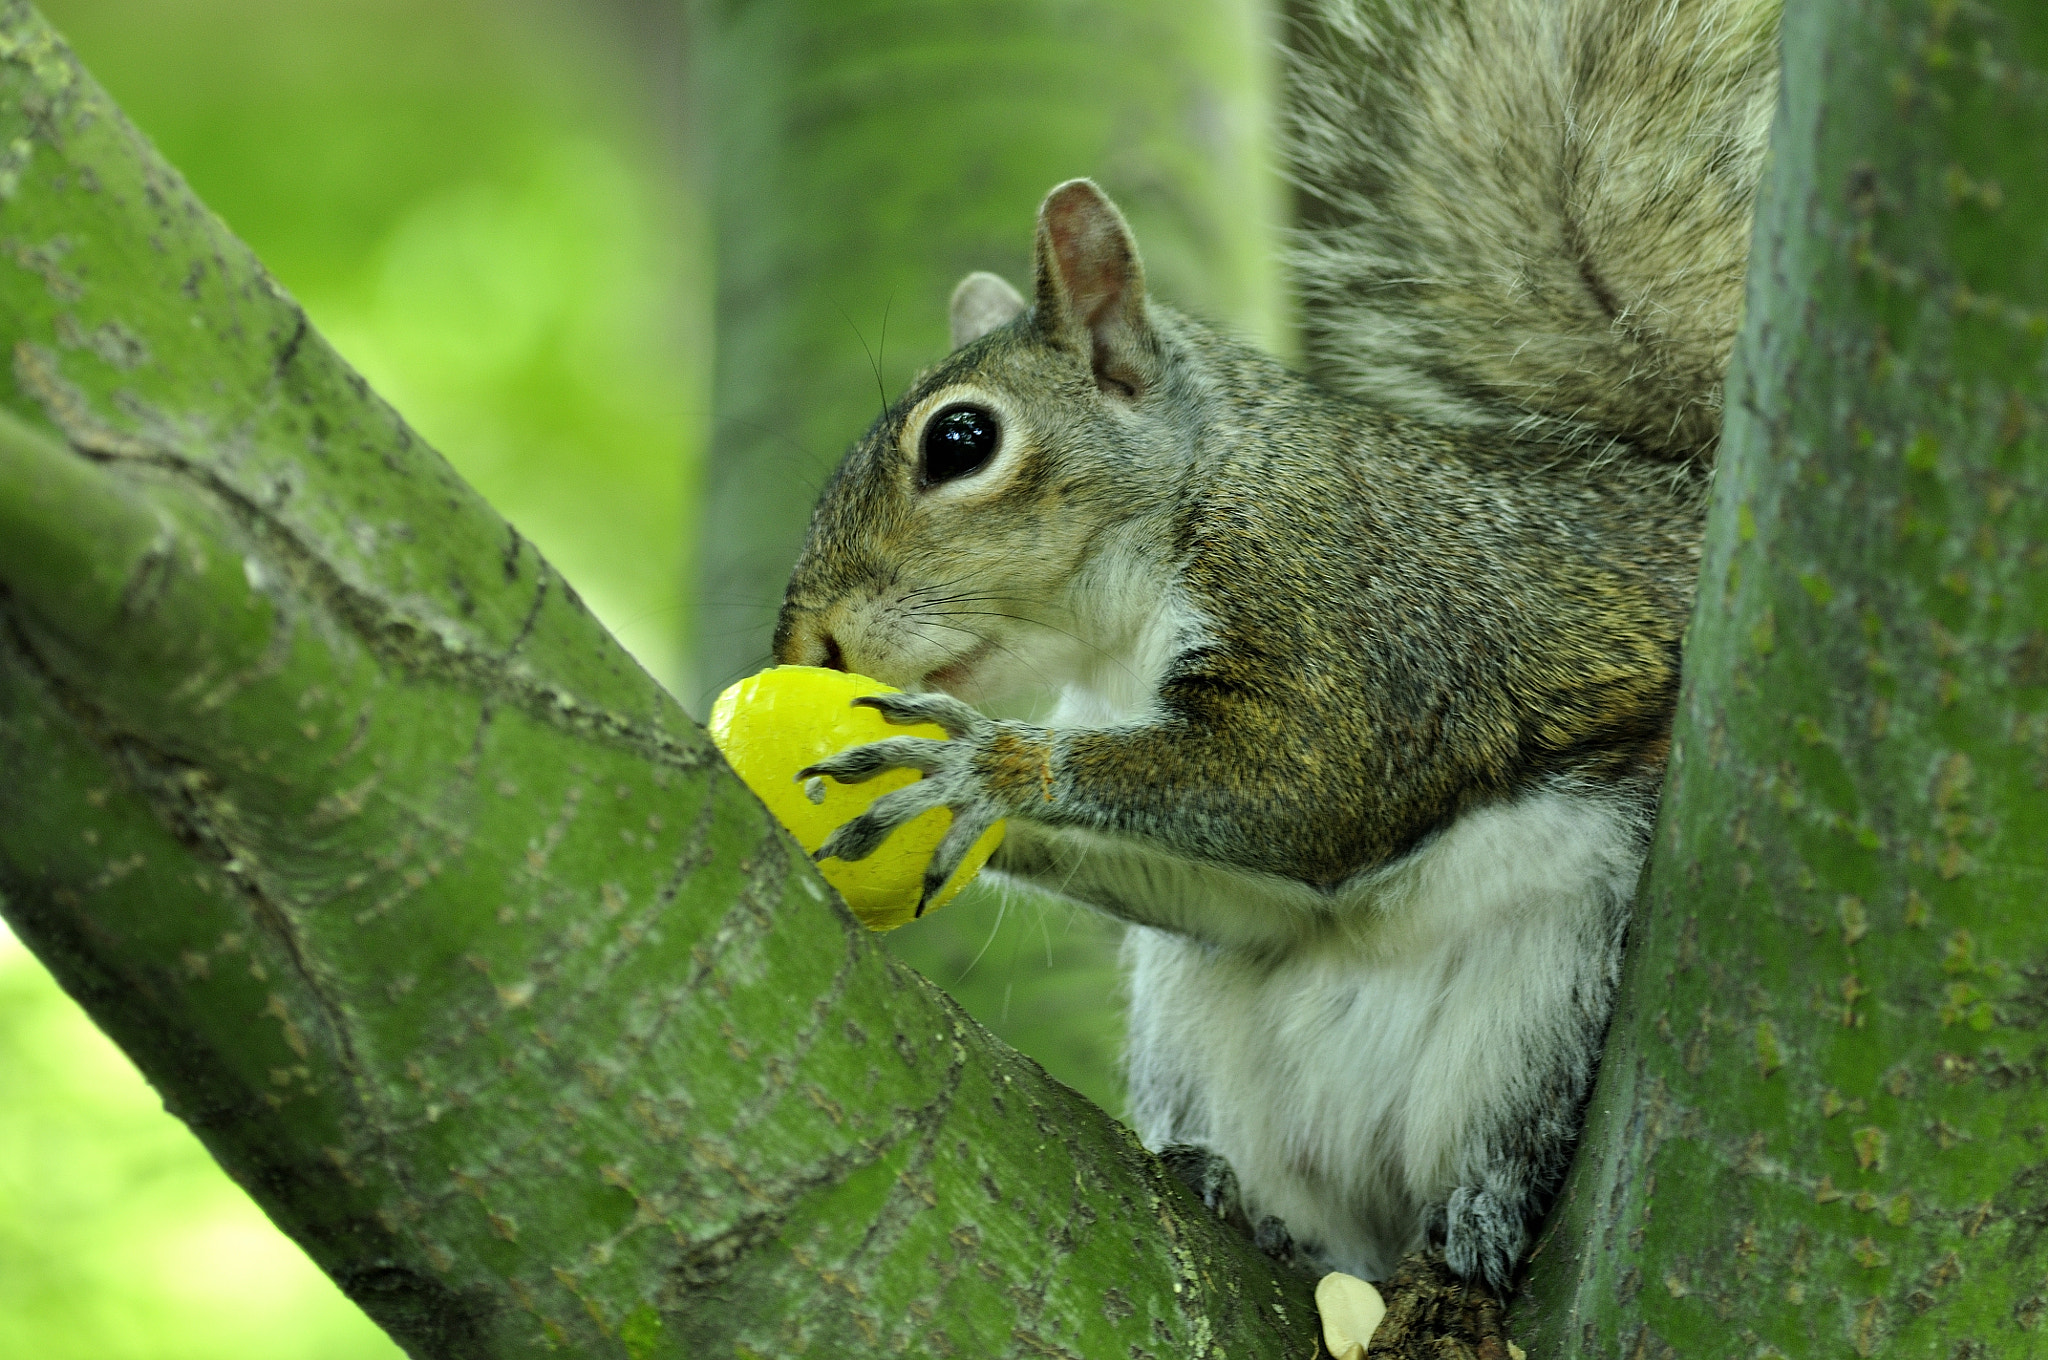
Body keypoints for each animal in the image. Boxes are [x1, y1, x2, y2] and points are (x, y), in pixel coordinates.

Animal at [769, 0, 1778, 1293]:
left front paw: (982, 763)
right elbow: (1249, 888)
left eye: (959, 440)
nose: (806, 636)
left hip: (1553, 993)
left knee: (1507, 1142)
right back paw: (1246, 1203)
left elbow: (1310, 783)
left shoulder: (1356, 619)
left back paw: (1482, 1211)